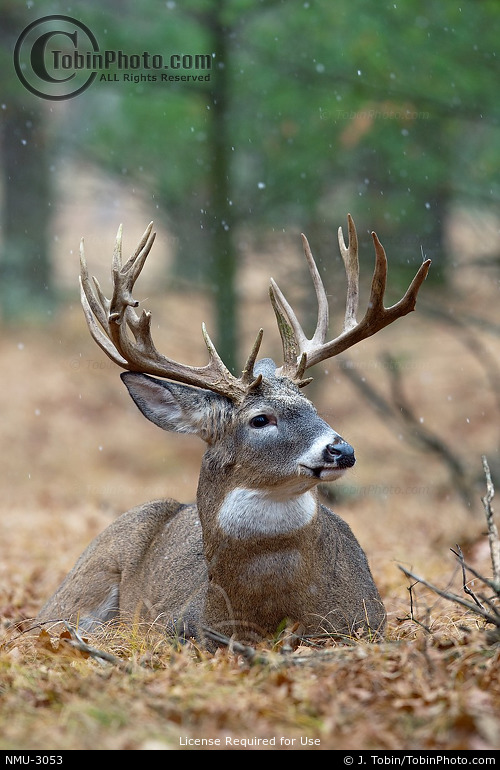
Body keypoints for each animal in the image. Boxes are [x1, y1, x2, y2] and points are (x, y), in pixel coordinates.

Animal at [37, 214, 430, 648]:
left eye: (313, 408)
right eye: (260, 419)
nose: (341, 450)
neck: (269, 612)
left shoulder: (369, 622)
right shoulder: (178, 626)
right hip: (78, 587)